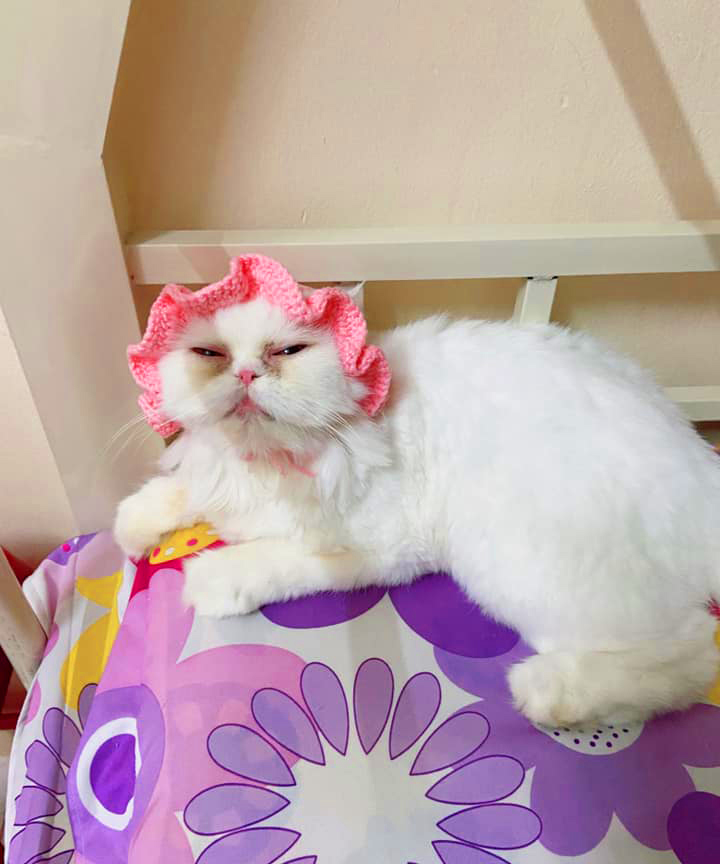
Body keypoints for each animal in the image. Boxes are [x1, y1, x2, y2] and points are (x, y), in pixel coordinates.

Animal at [114, 287, 720, 728]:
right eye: (209, 355)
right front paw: (133, 525)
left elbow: (280, 557)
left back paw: (548, 692)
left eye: (287, 352)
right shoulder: (213, 476)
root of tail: (699, 464)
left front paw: (213, 577)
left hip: (516, 566)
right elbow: (178, 491)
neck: (268, 463)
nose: (244, 374)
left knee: (691, 657)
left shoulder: (383, 548)